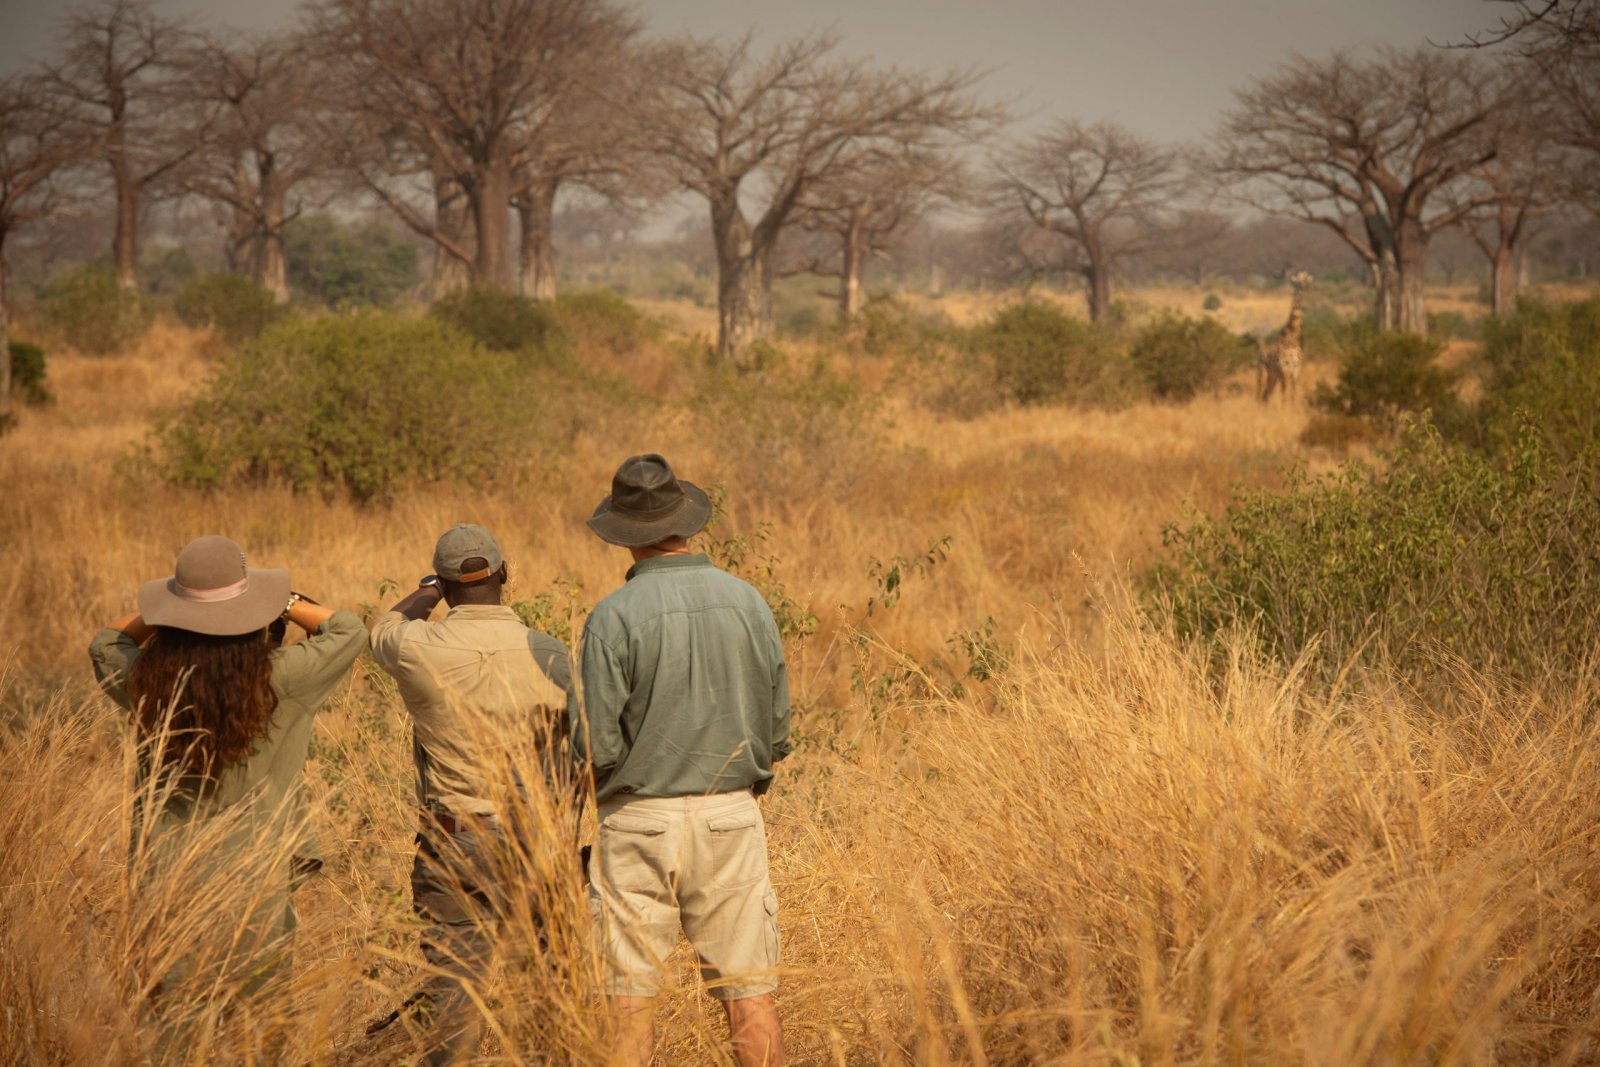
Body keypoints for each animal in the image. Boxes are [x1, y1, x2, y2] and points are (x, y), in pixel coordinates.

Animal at [1260, 271, 1312, 404]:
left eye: (1307, 279)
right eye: (1297, 281)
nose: (1307, 286)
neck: (1292, 337)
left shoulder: (1296, 370)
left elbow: (1293, 395)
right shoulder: (1284, 369)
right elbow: (1284, 394)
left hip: (1273, 376)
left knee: (1266, 395)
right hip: (1263, 373)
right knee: (1261, 395)